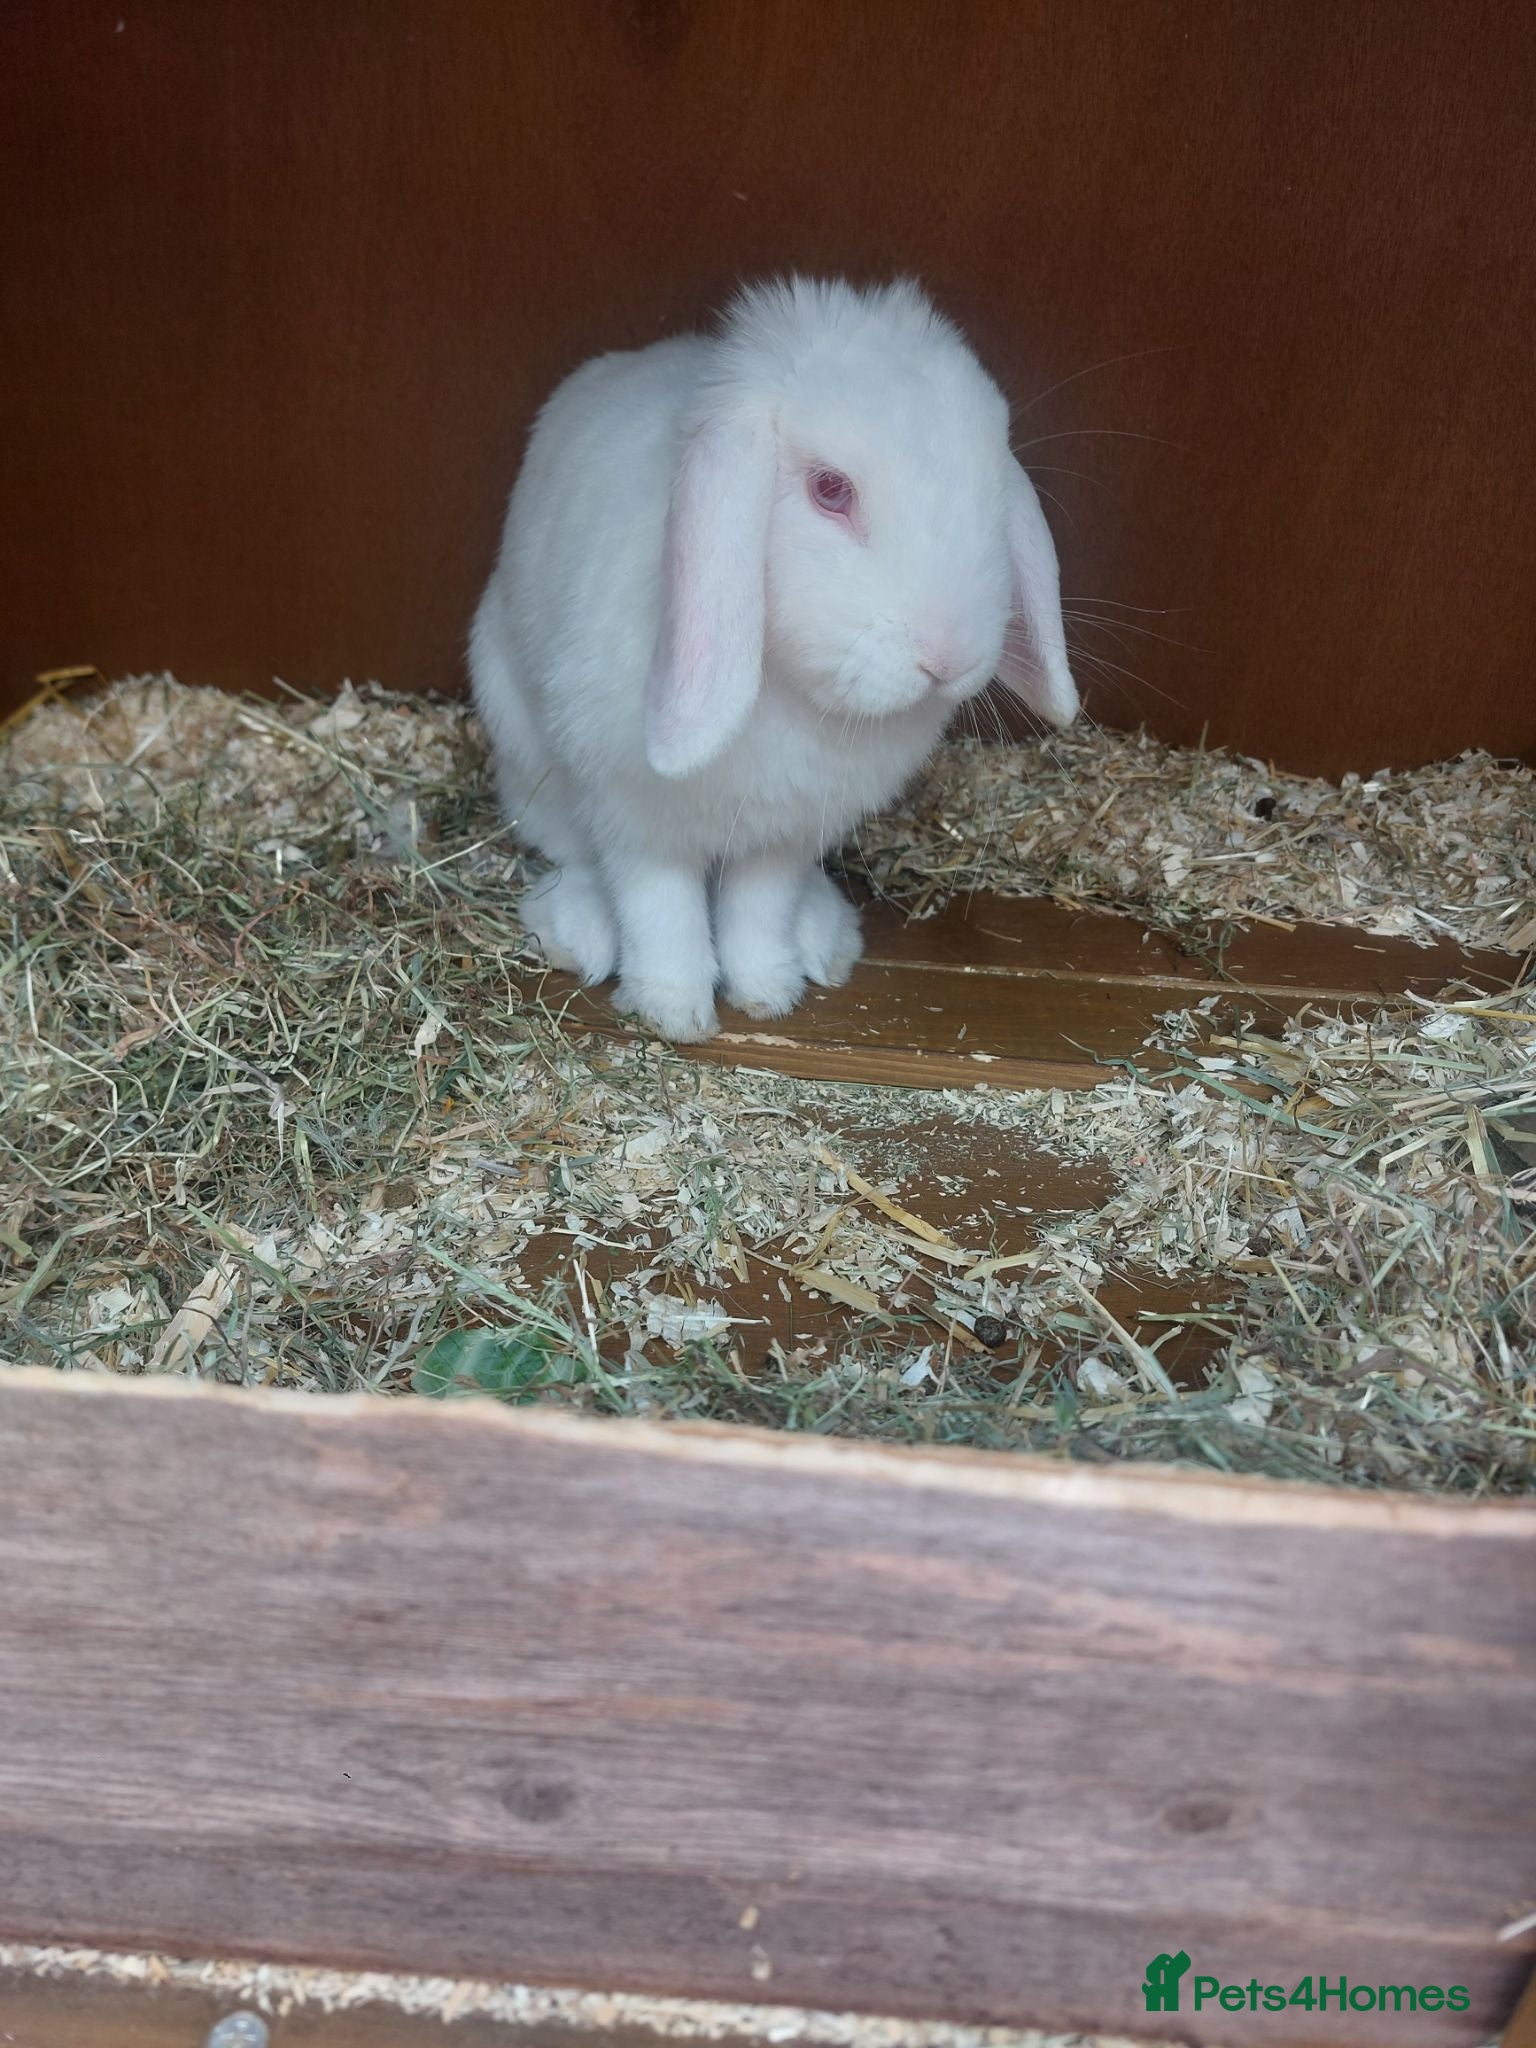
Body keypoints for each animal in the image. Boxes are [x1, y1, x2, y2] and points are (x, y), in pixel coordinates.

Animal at [469, 275, 1078, 1042]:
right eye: (830, 490)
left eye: (993, 487)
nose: (949, 655)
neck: (789, 691)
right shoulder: (637, 816)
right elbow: (659, 908)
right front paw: (675, 1011)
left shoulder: (787, 831)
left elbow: (758, 910)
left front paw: (768, 993)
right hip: (525, 751)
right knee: (568, 849)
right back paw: (578, 932)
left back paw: (823, 938)